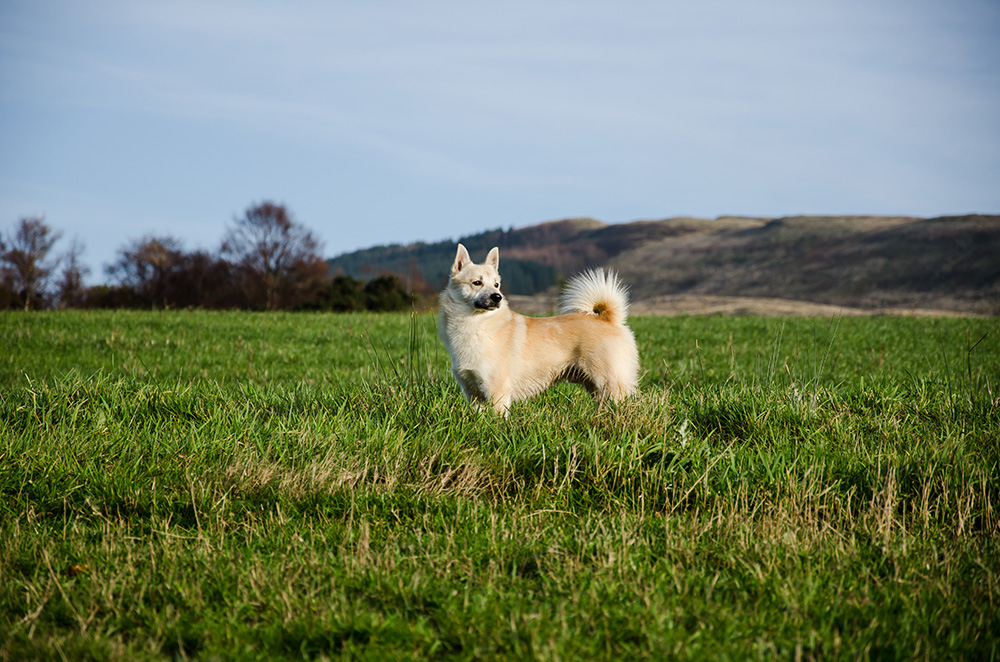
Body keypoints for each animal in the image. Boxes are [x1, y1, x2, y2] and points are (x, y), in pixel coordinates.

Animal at [440, 244, 640, 416]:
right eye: (476, 283)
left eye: (496, 284)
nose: (497, 297)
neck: (476, 324)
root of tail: (608, 319)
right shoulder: (472, 393)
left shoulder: (497, 391)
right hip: (595, 387)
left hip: (610, 383)